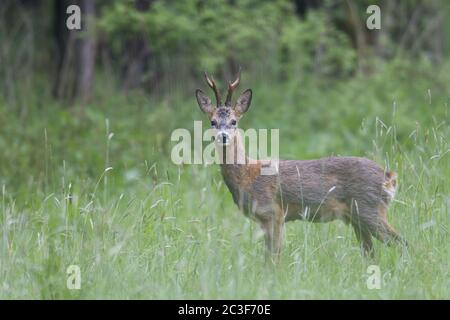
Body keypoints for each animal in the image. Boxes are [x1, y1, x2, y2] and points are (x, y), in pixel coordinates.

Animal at [195, 70, 406, 260]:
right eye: (212, 121)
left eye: (234, 121)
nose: (223, 137)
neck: (247, 175)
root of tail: (389, 176)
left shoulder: (273, 212)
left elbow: (274, 257)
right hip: (358, 217)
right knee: (372, 253)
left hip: (369, 208)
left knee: (403, 243)